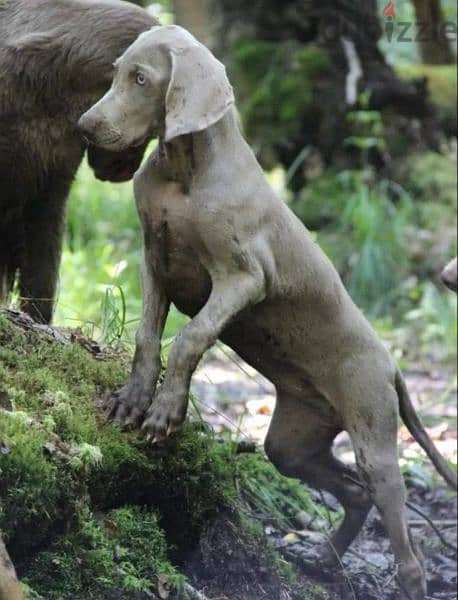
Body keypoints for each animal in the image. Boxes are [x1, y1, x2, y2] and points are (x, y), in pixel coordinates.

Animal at [79, 25, 458, 600]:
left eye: (141, 79)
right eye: (117, 73)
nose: (84, 127)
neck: (185, 172)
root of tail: (392, 365)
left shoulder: (244, 278)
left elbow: (189, 337)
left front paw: (167, 411)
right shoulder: (154, 263)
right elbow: (148, 336)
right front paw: (134, 399)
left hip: (373, 429)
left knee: (395, 525)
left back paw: (399, 576)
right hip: (293, 442)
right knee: (351, 491)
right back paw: (323, 557)